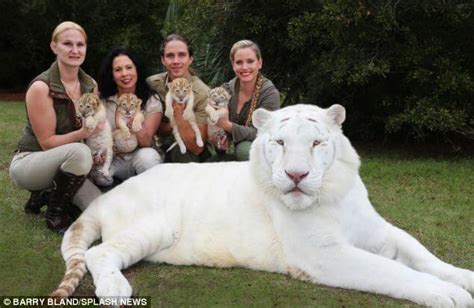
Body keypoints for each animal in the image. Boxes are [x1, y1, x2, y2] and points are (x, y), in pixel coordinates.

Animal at [50, 104, 472, 306]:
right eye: (281, 143)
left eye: (316, 143)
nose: (297, 175)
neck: (332, 194)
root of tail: (105, 198)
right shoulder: (322, 254)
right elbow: (392, 271)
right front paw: (448, 295)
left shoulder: (380, 232)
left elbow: (423, 255)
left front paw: (463, 278)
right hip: (152, 226)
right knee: (99, 253)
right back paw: (115, 290)